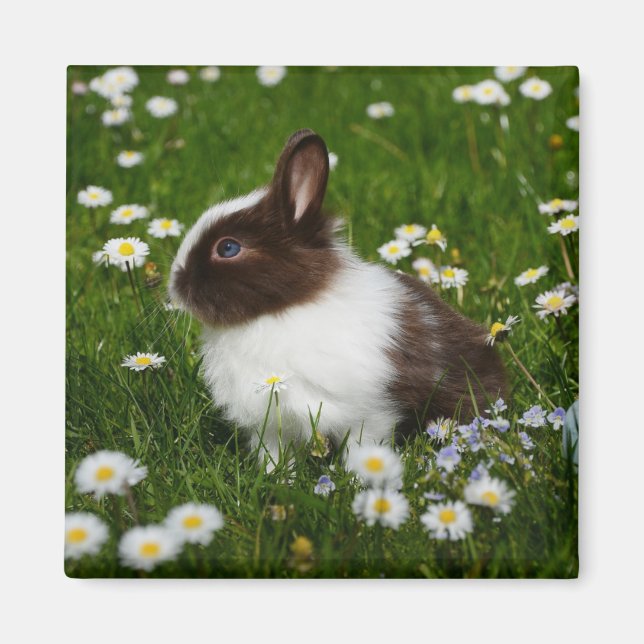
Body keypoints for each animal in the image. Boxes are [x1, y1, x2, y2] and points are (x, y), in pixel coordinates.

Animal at [169, 129, 506, 467]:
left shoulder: (369, 413)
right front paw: (277, 475)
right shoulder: (271, 425)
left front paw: (361, 476)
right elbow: (275, 455)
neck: (282, 310)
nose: (174, 285)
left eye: (228, 248)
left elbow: (363, 448)